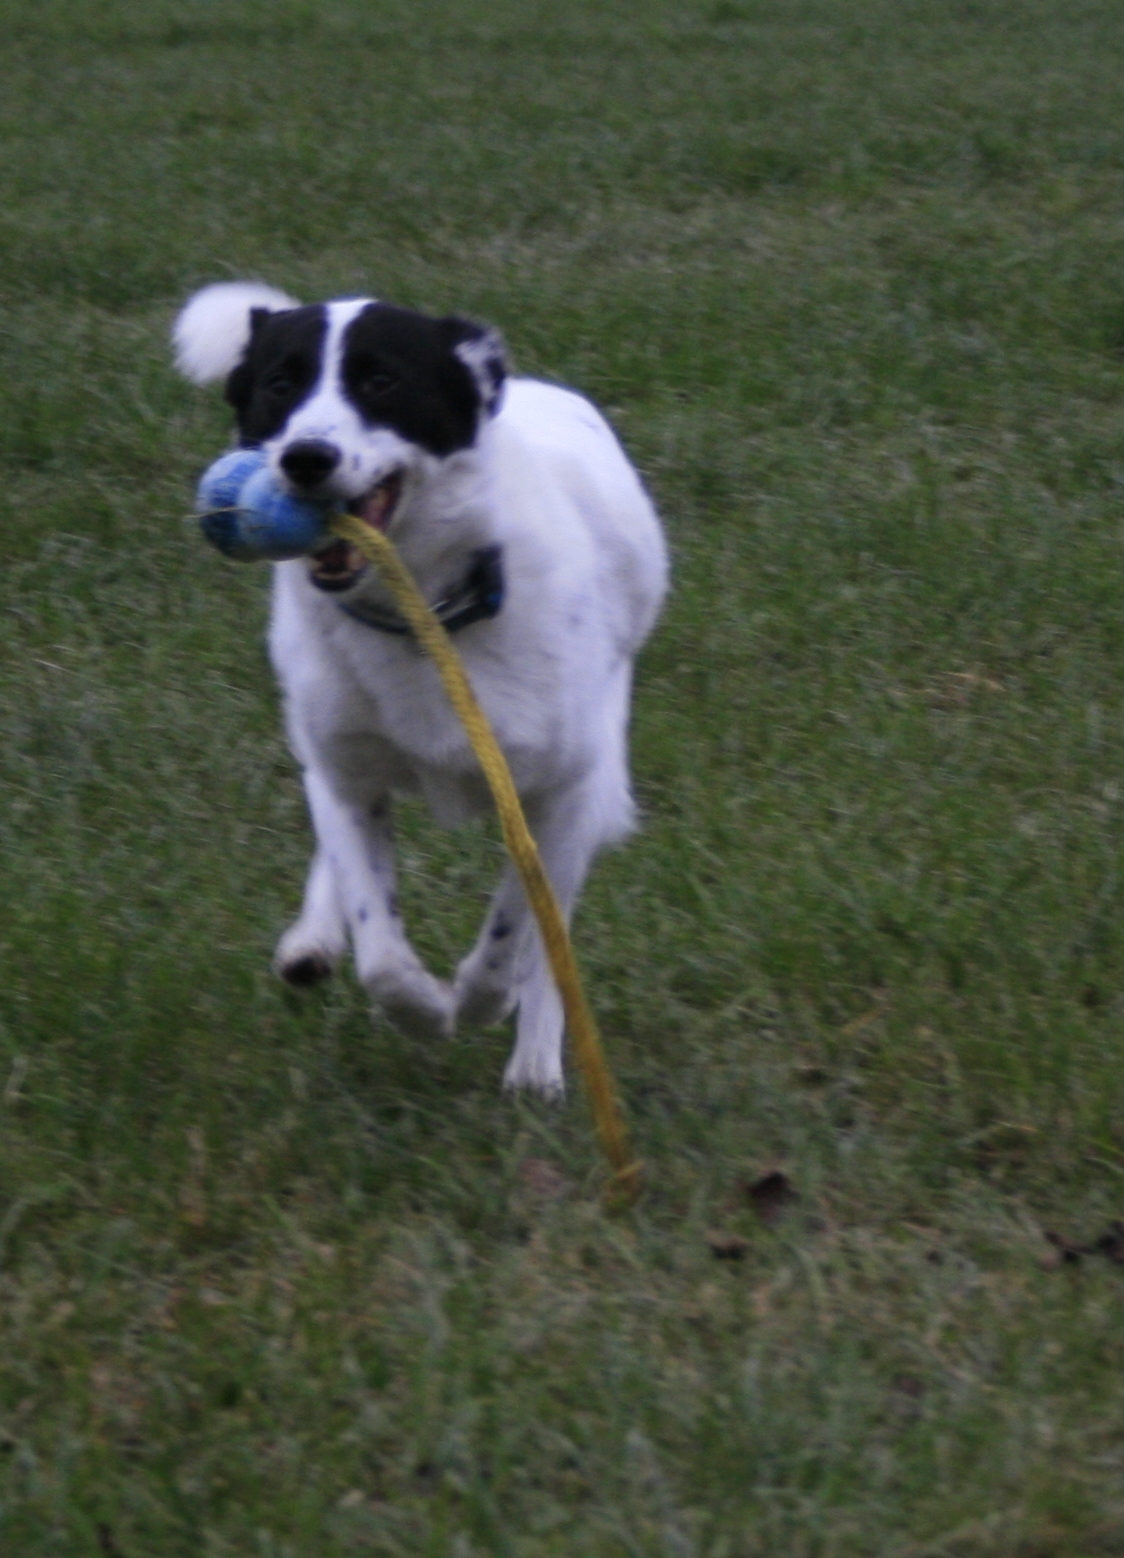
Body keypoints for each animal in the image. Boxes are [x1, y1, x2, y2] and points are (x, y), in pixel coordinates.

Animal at [173, 283, 667, 1096]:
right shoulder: (347, 773)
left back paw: (535, 1067)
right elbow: (380, 949)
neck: (422, 616)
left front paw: (482, 1008)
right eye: (280, 384)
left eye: (382, 381)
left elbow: (517, 938)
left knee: (550, 938)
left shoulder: (557, 795)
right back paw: (312, 941)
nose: (306, 458)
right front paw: (425, 1011)